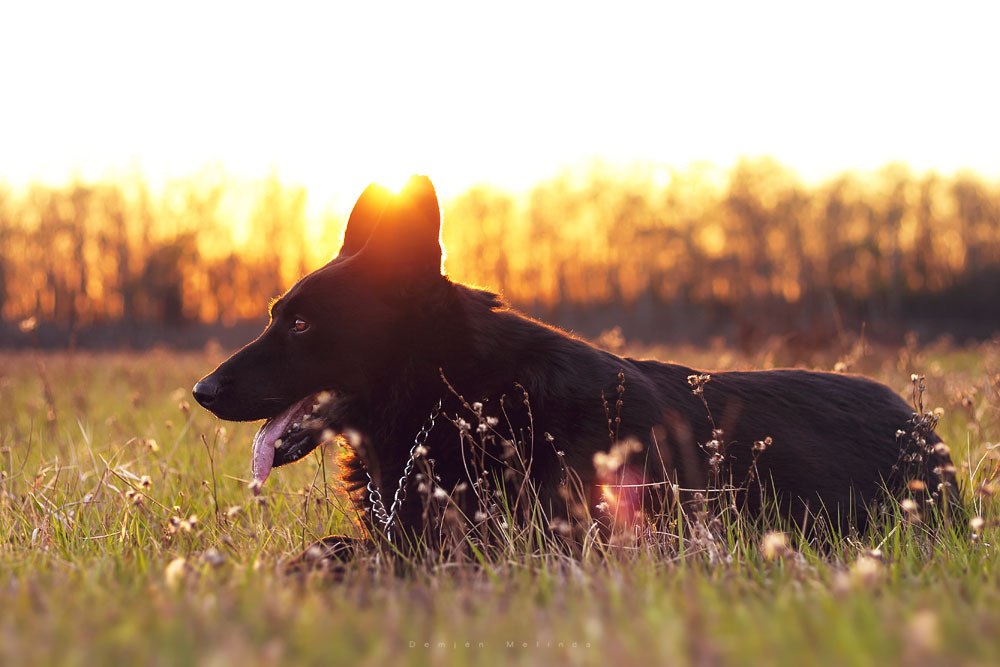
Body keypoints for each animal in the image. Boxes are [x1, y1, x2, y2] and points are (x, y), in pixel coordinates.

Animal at [191, 175, 956, 556]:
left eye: (300, 324)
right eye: (277, 313)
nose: (201, 391)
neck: (457, 395)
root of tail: (921, 426)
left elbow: (336, 553)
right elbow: (330, 546)